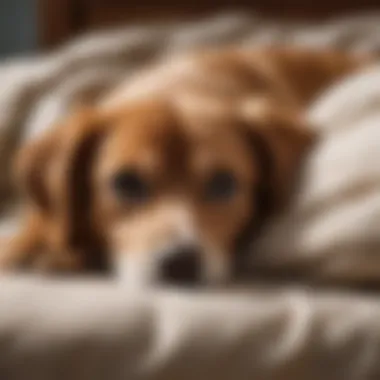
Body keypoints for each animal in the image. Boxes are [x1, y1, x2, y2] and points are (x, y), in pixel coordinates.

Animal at [0, 47, 370, 286]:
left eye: (223, 183)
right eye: (126, 183)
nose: (181, 263)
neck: (185, 86)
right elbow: (44, 218)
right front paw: (29, 243)